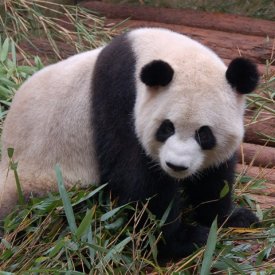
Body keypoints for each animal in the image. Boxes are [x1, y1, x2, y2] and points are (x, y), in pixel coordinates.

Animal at [0, 27, 260, 260]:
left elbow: (213, 178)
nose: (176, 166)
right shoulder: (120, 102)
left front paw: (233, 217)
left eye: (204, 134)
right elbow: (138, 184)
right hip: (50, 189)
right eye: (166, 128)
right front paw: (182, 240)